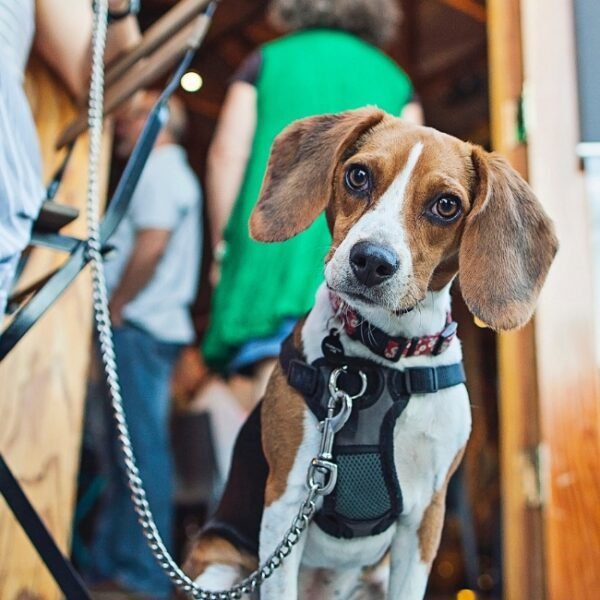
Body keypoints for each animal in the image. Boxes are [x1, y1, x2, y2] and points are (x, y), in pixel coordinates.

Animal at [184, 109, 556, 600]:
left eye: (446, 205)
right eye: (358, 176)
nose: (372, 261)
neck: (384, 354)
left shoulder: (424, 520)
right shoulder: (285, 502)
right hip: (221, 565)